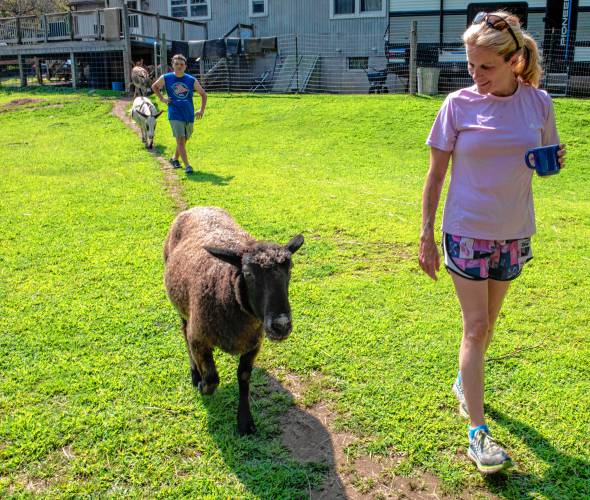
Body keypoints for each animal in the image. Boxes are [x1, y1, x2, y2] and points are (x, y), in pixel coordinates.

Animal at [165, 206, 306, 434]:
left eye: (290, 270)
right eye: (248, 274)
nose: (281, 325)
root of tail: (199, 207)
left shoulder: (254, 344)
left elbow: (244, 376)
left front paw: (245, 422)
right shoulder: (199, 339)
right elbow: (212, 379)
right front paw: (202, 385)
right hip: (183, 311)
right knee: (184, 333)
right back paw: (195, 374)